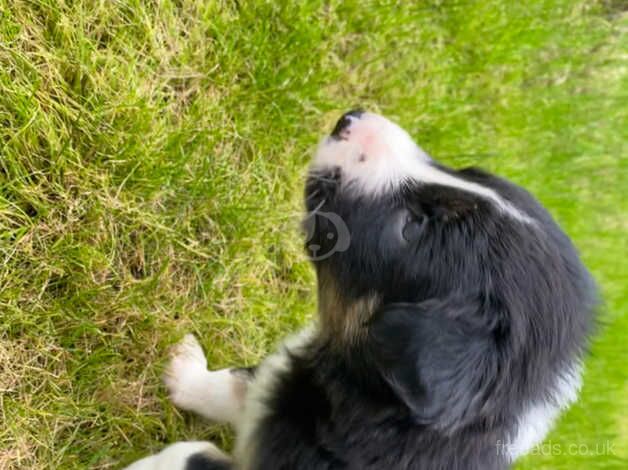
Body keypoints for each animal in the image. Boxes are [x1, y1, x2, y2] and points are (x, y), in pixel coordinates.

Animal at [125, 111, 596, 470]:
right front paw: (186, 368)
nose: (349, 118)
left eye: (412, 226)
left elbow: (195, 452)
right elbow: (240, 384)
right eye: (468, 173)